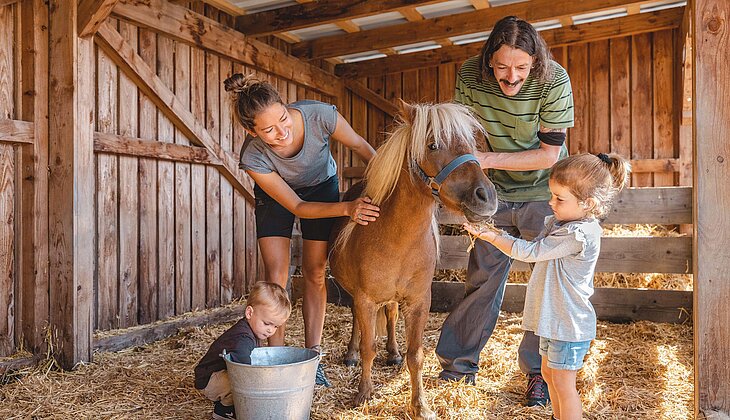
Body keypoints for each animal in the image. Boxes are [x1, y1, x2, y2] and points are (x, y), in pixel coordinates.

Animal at [329, 101, 498, 420]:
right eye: (433, 145)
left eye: (472, 143)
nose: (486, 197)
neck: (396, 239)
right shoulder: (365, 298)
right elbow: (369, 346)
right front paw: (363, 393)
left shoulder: (420, 301)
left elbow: (416, 355)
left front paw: (420, 405)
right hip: (356, 295)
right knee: (358, 322)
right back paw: (351, 354)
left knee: (392, 316)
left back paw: (393, 353)